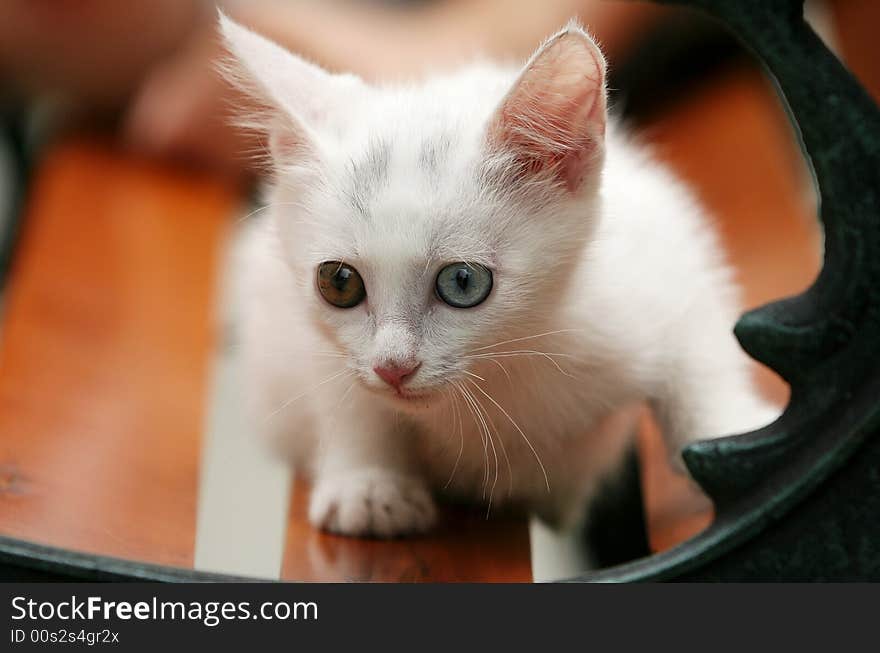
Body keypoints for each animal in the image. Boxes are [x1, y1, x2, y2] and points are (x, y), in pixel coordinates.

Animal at [220, 15, 776, 536]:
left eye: (462, 283)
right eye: (339, 283)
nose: (393, 368)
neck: (506, 365)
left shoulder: (661, 253)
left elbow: (697, 353)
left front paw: (729, 434)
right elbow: (346, 395)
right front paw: (369, 485)